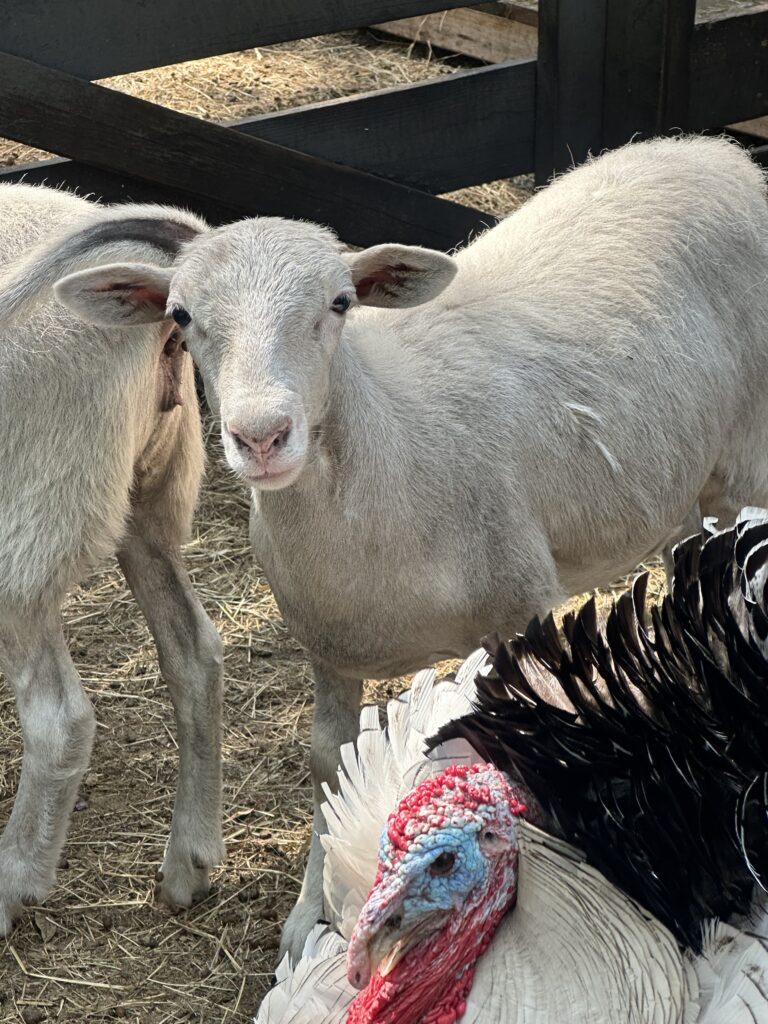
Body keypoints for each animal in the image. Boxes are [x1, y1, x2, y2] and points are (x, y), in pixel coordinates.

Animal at [7, 136, 768, 958]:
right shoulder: (329, 641)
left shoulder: (518, 608)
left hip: (750, 461)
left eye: (340, 304)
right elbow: (328, 765)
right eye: (182, 314)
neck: (388, 441)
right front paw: (311, 913)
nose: (261, 436)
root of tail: (718, 152)